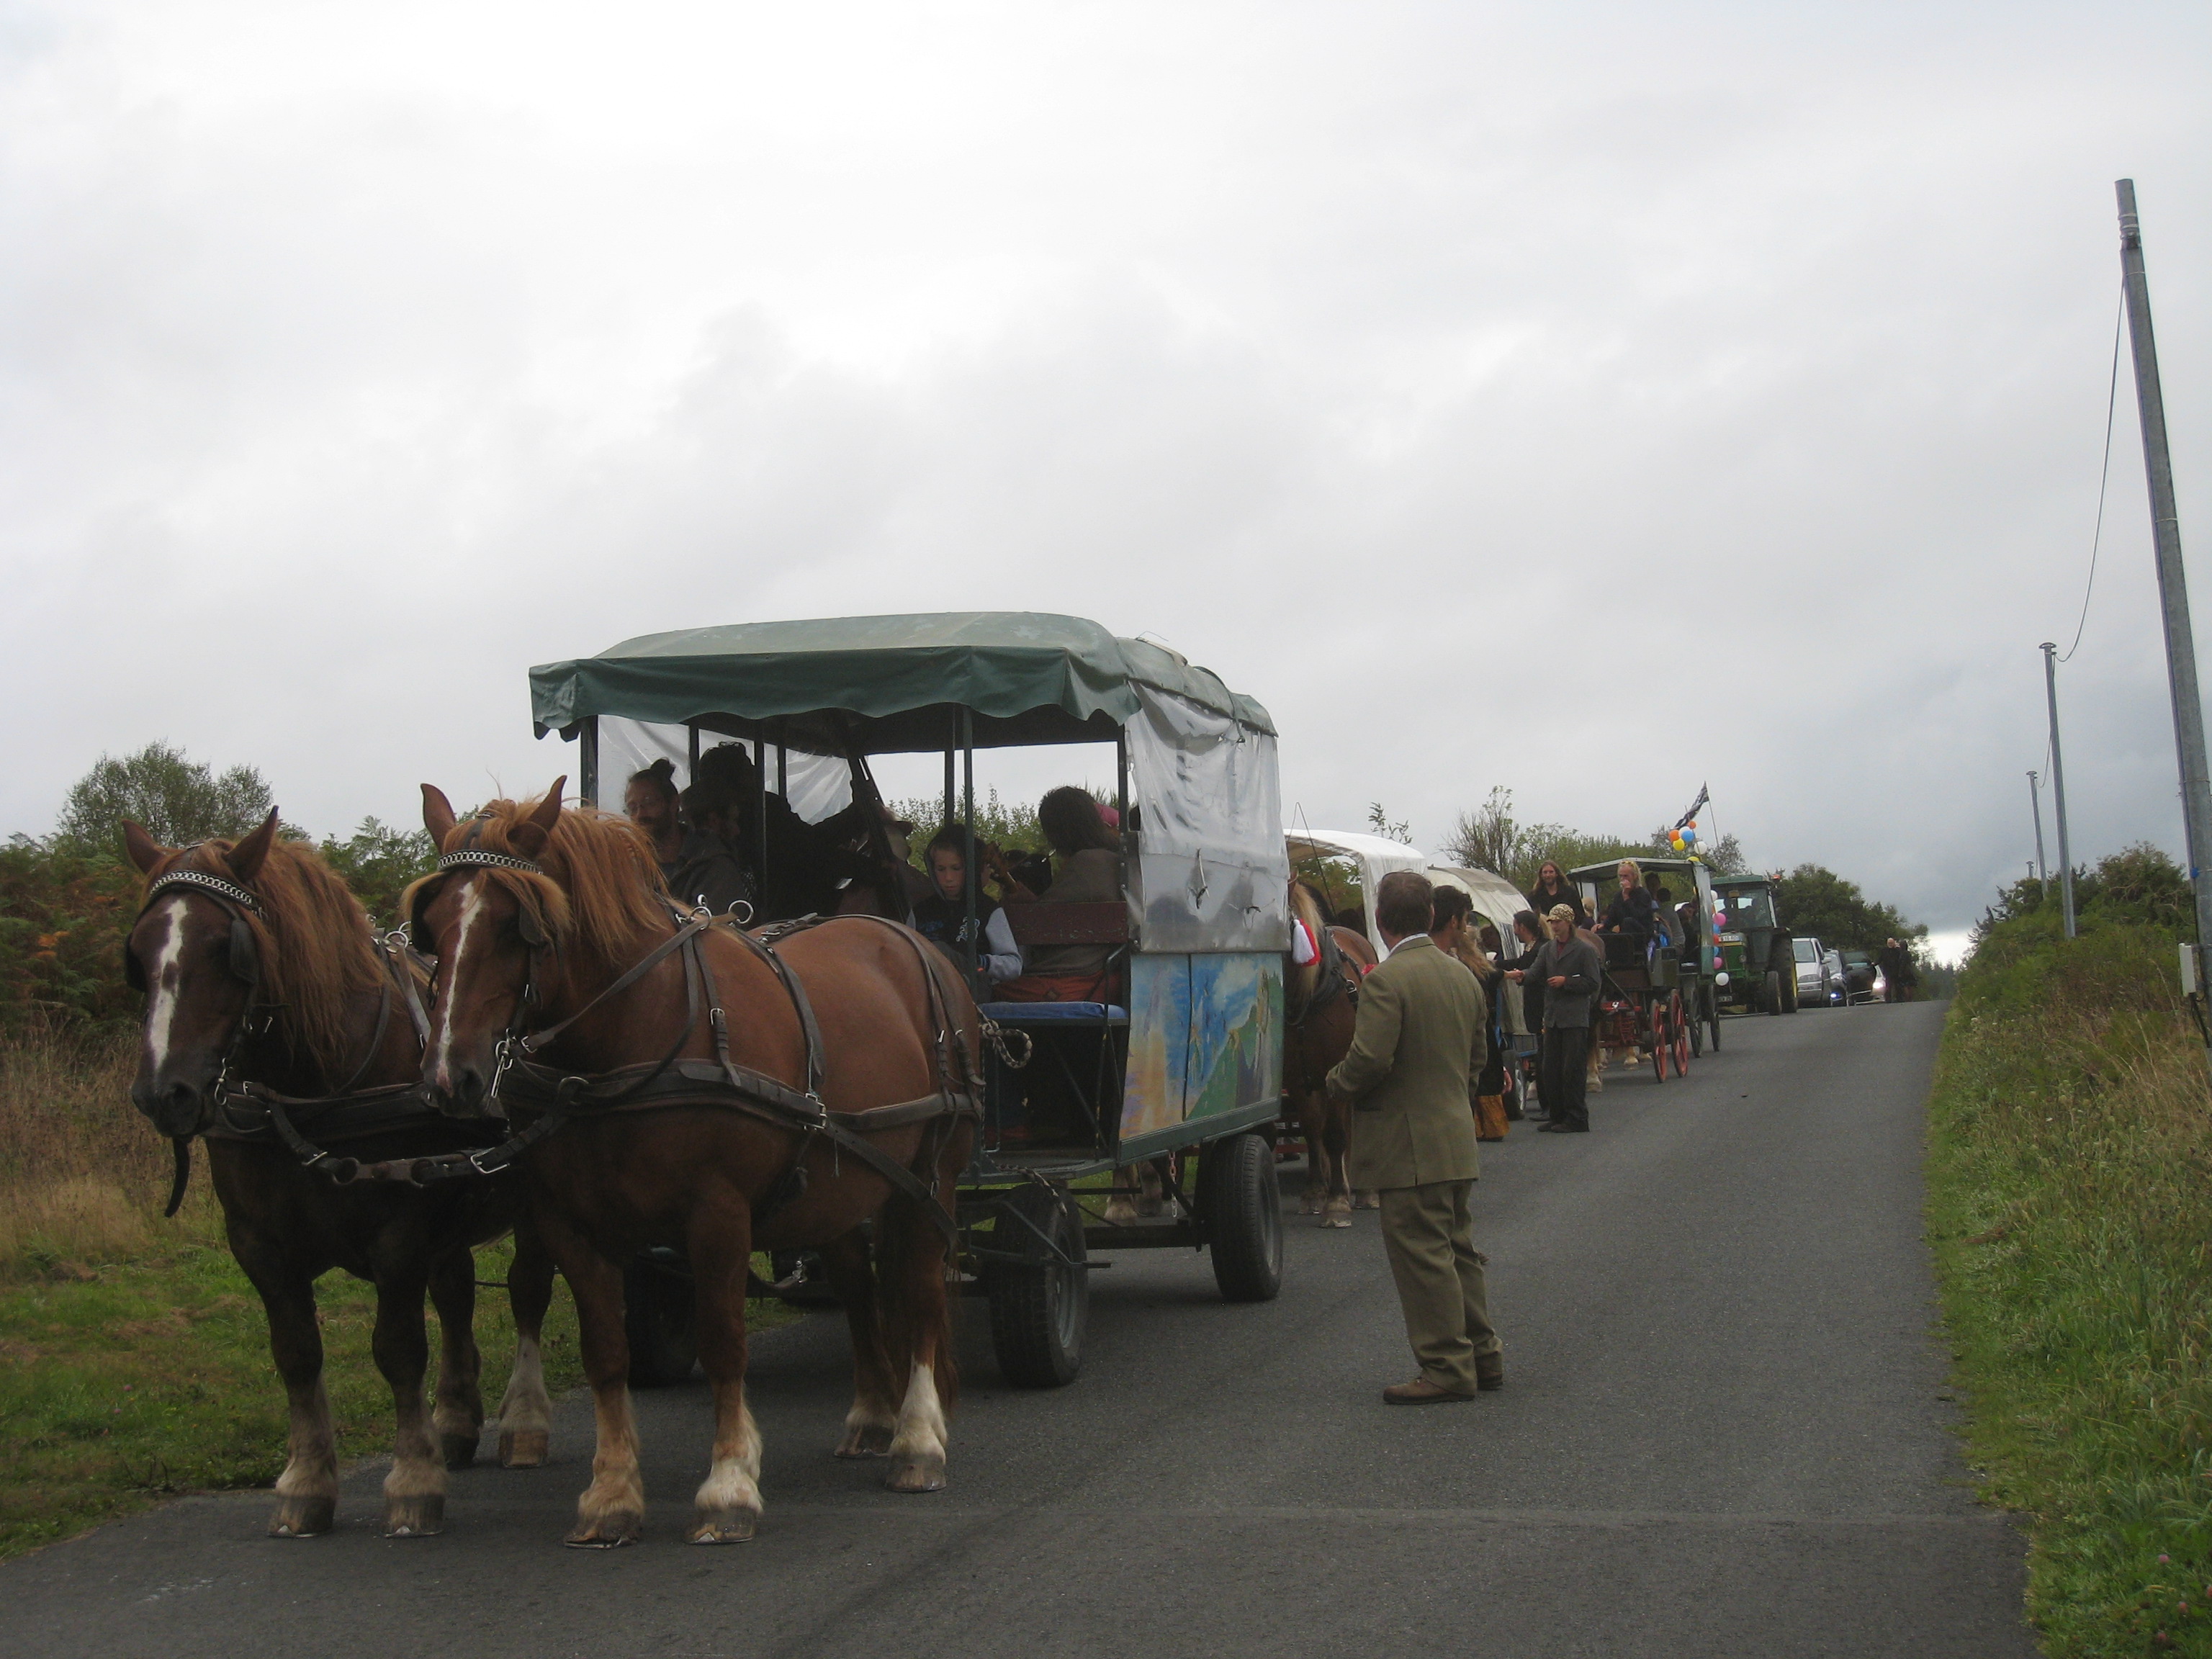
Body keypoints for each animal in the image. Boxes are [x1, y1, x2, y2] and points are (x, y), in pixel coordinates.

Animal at [121, 812, 556, 1539]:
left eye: (225, 948)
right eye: (141, 952)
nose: (164, 1093)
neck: (311, 1088)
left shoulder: (399, 1235)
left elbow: (399, 1349)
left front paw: (412, 1481)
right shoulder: (259, 1246)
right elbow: (296, 1354)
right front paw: (305, 1484)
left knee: (526, 1290)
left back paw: (522, 1421)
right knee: (458, 1295)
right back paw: (456, 1420)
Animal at [407, 780, 980, 1547]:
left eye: (514, 926)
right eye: (431, 924)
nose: (451, 1077)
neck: (630, 1035)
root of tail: (911, 939)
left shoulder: (717, 1213)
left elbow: (723, 1340)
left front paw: (729, 1485)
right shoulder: (571, 1224)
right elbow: (605, 1351)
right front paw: (611, 1493)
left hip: (931, 1174)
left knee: (918, 1289)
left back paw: (917, 1439)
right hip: (843, 1184)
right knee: (861, 1289)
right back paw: (871, 1416)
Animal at [1283, 878, 1376, 1227]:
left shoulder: (1335, 1069)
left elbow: (1335, 1135)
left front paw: (1336, 1202)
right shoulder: (1297, 1079)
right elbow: (1313, 1132)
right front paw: (1314, 1193)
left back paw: (1362, 1190)